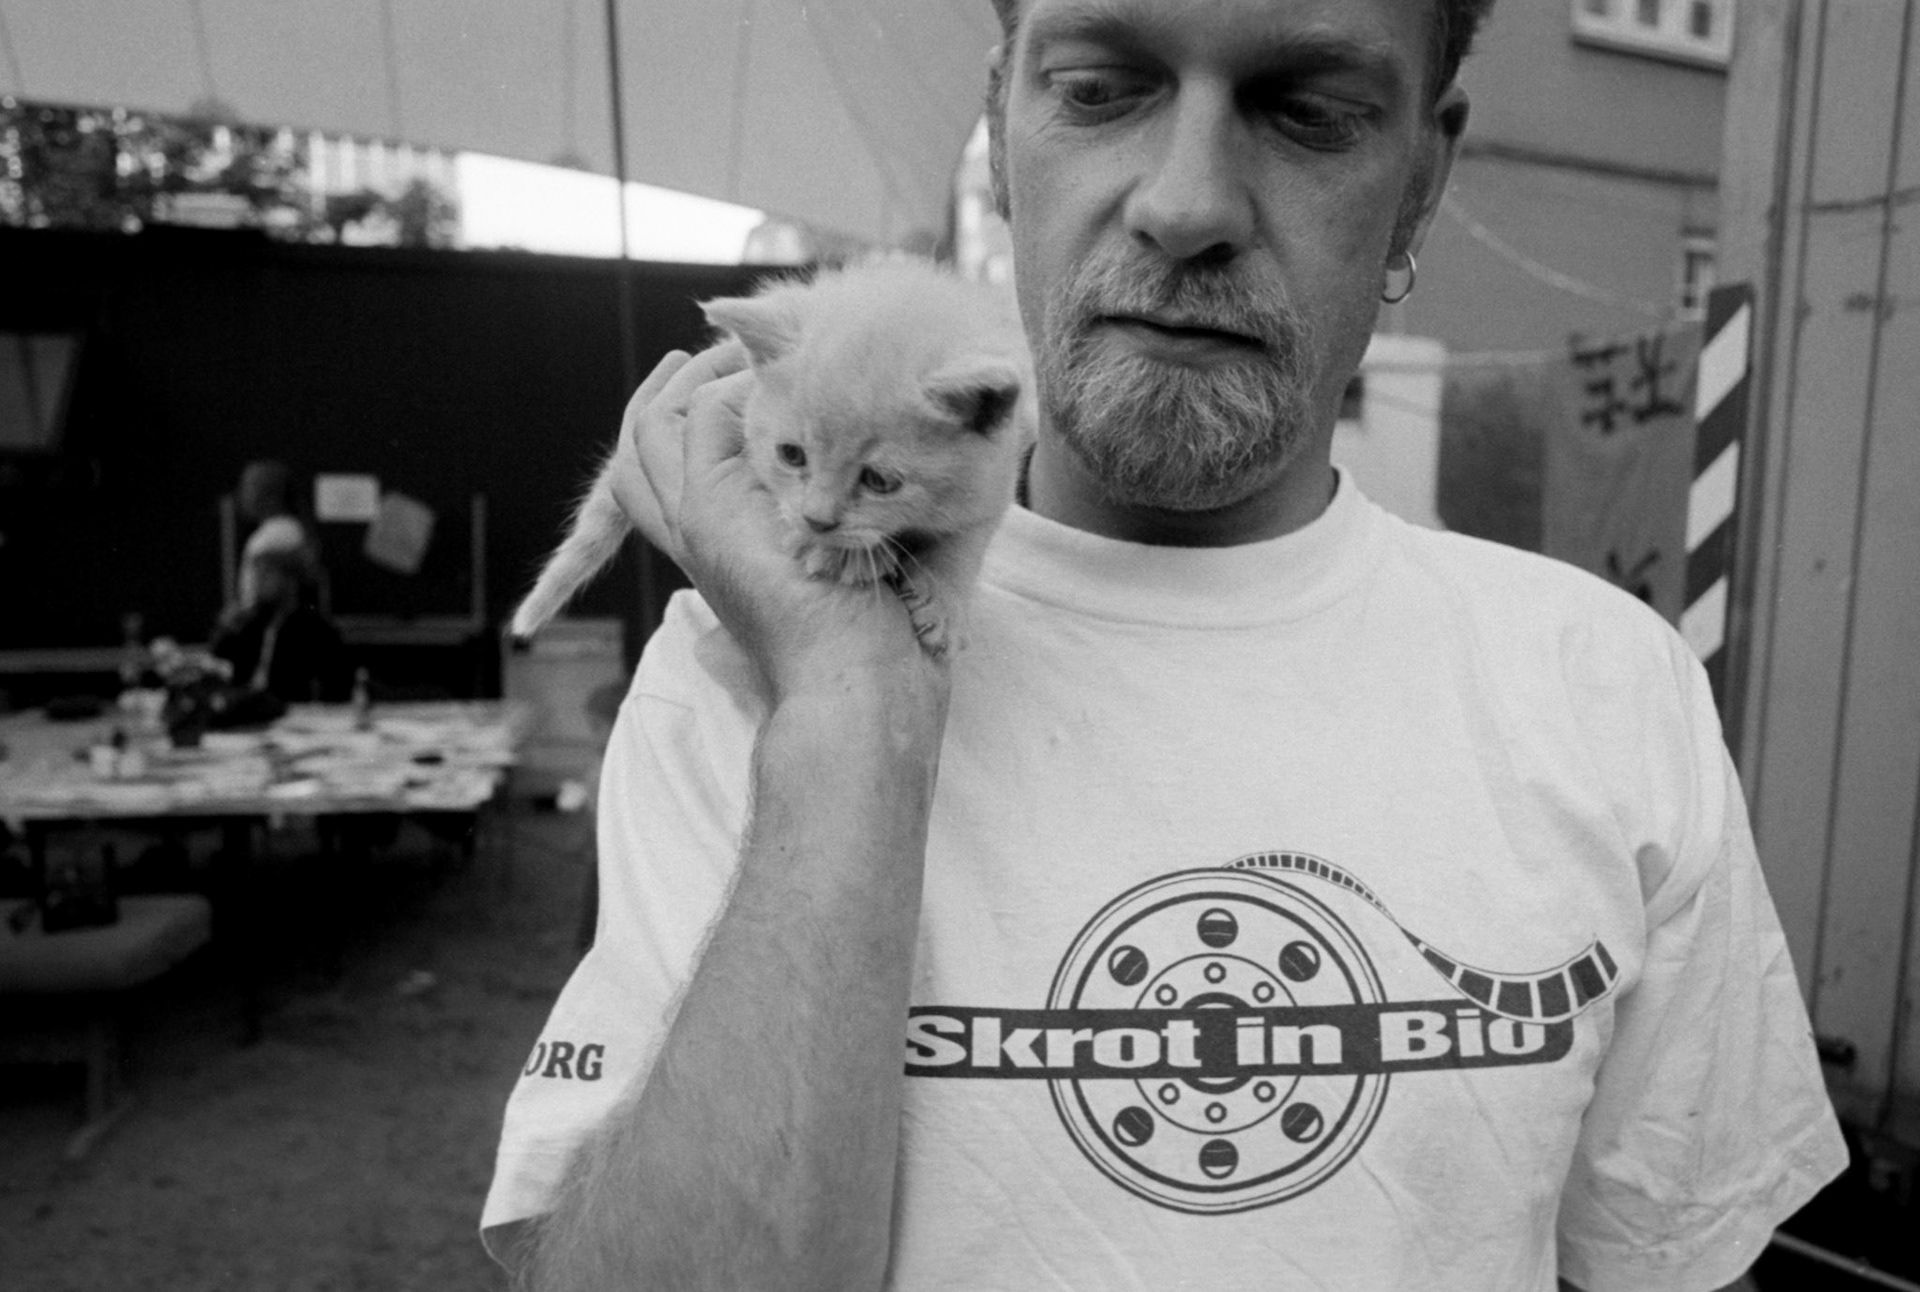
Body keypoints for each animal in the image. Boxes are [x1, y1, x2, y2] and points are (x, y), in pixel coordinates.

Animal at [509, 258, 1034, 659]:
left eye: (881, 481)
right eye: (791, 455)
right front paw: (841, 554)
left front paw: (943, 601)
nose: (817, 519)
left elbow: (966, 543)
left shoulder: (997, 472)